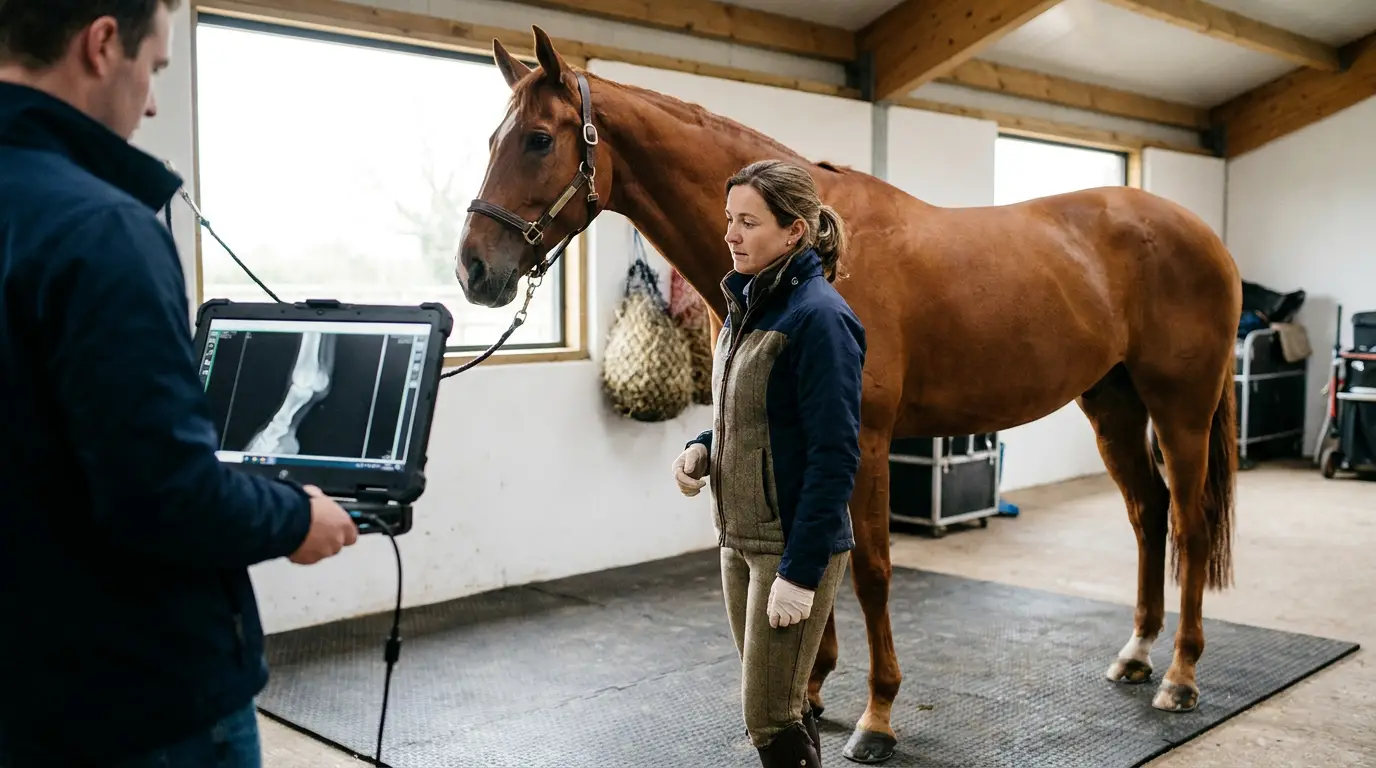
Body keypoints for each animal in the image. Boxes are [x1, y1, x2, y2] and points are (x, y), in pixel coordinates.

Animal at [455, 26, 1241, 764]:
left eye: (537, 139)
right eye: (493, 137)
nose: (472, 270)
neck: (818, 257)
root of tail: (1205, 236)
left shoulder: (860, 440)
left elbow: (868, 572)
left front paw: (877, 717)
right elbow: (807, 564)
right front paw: (808, 694)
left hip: (1181, 409)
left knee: (1188, 526)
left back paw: (1181, 676)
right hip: (1112, 404)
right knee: (1147, 514)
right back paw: (1136, 655)